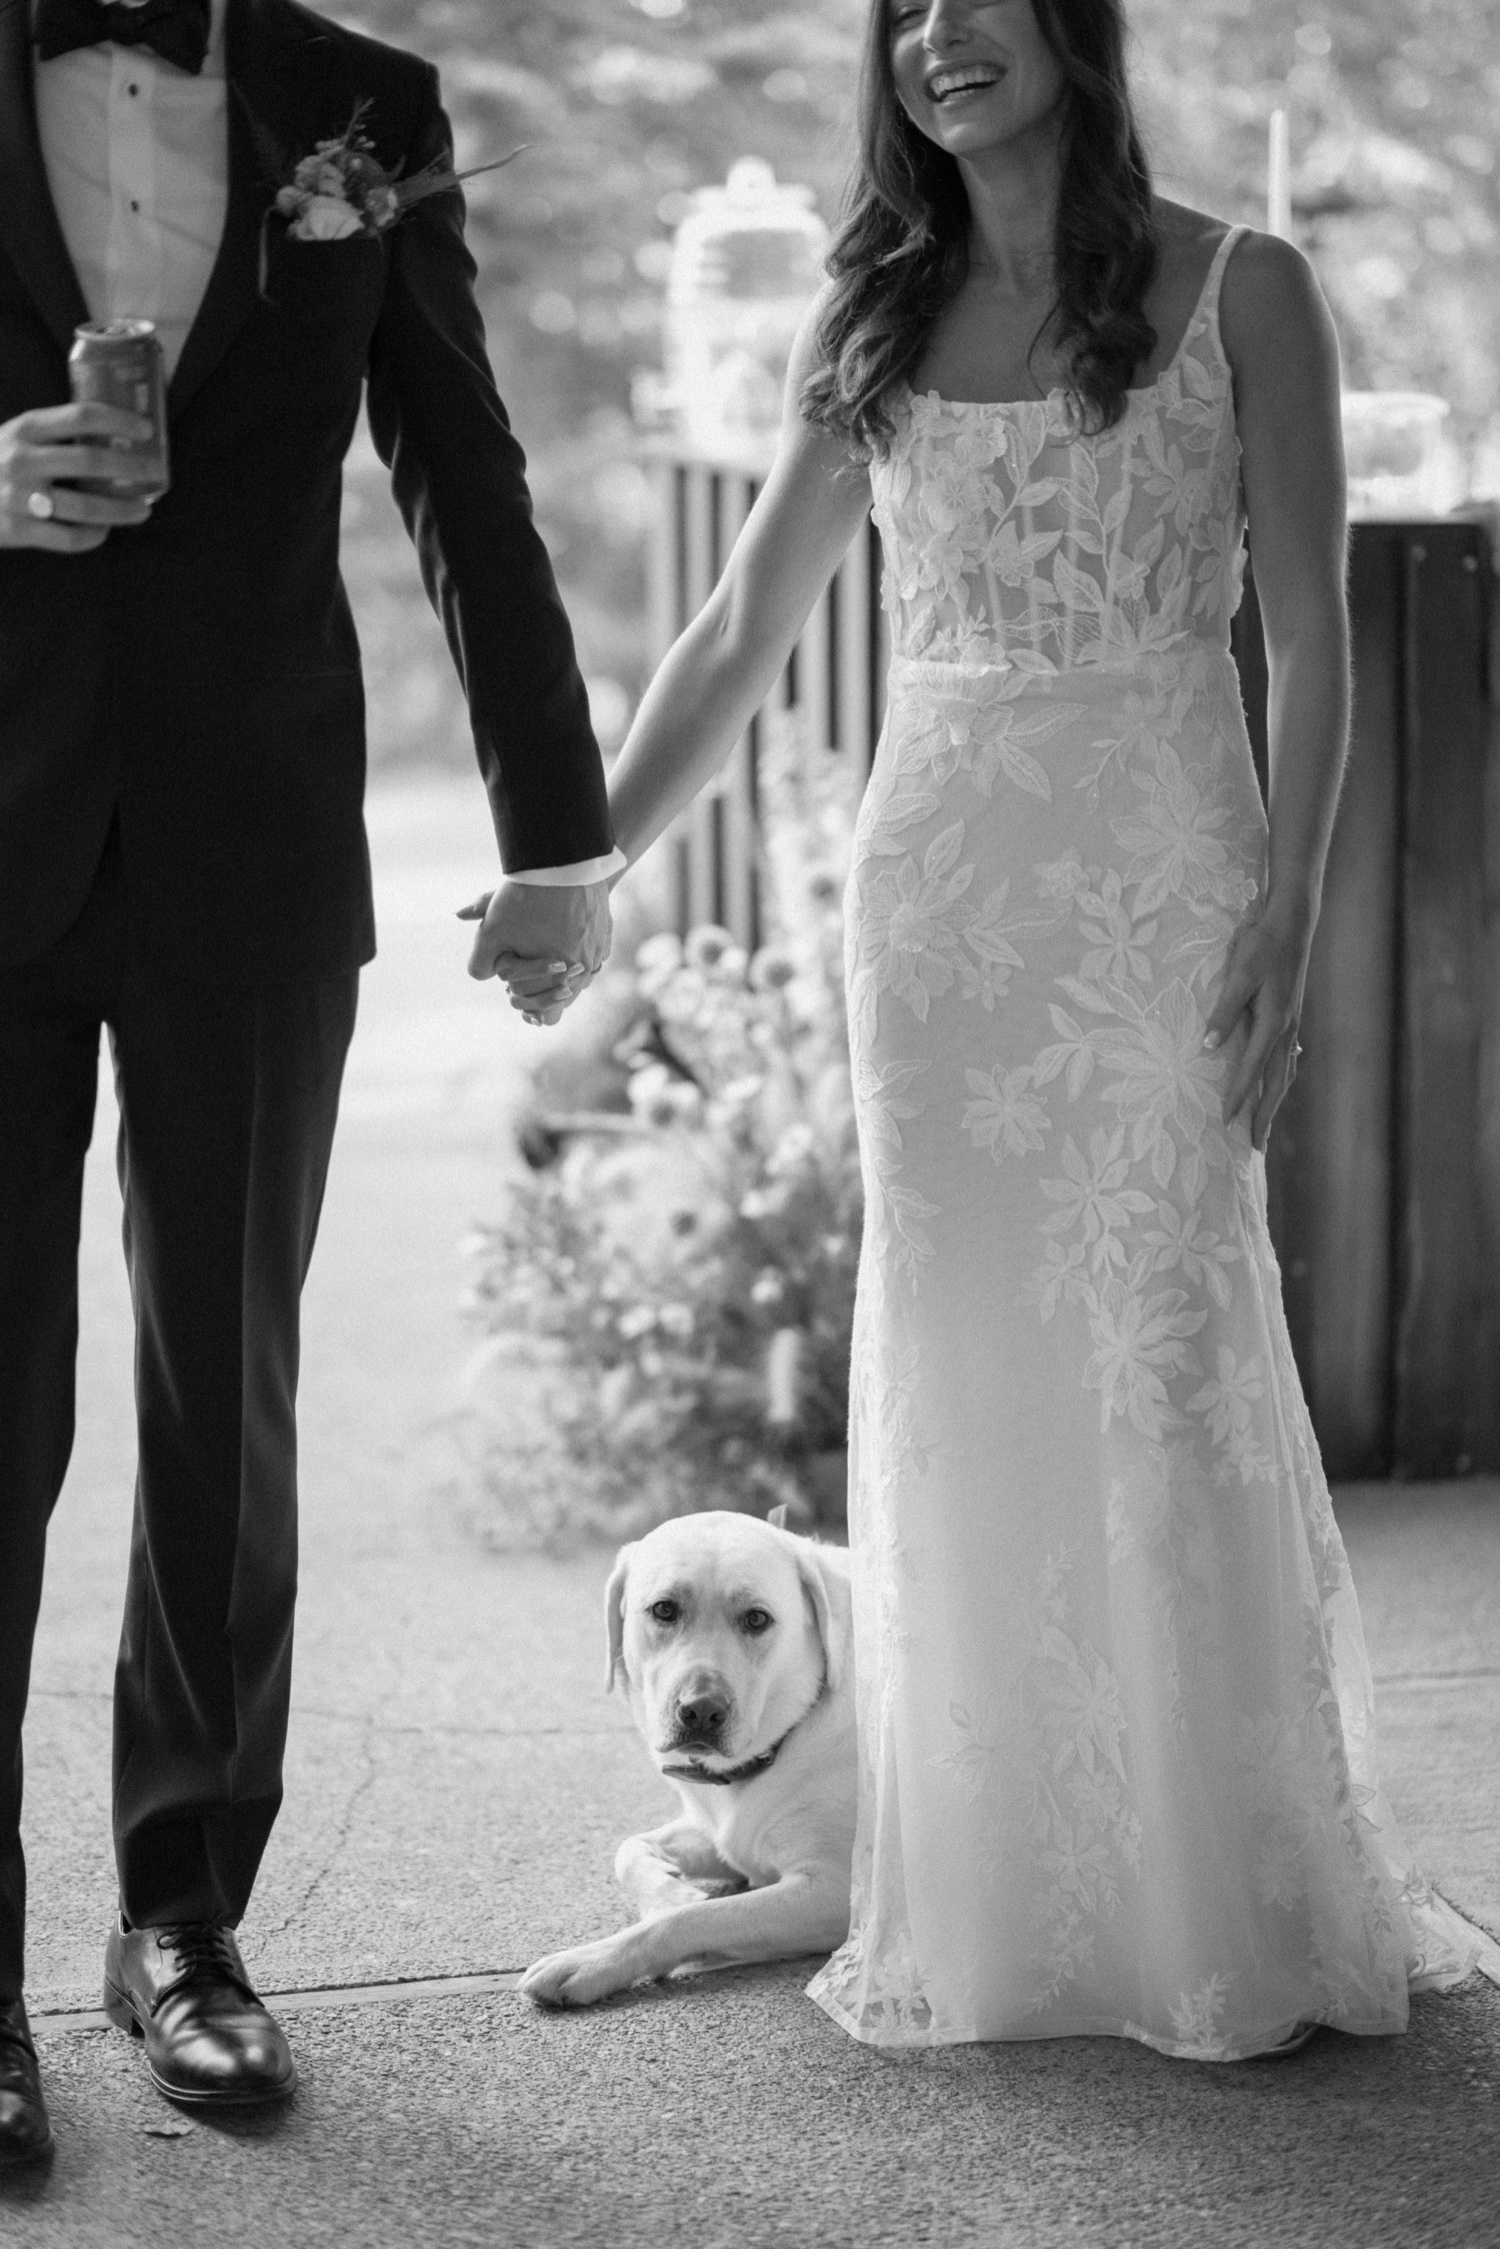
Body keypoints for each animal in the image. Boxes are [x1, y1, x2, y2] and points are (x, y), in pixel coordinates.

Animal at [521, 1511, 854, 2006]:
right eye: (664, 1610)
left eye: (757, 1618)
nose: (701, 1711)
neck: (784, 1738)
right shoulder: (717, 1832)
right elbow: (628, 1849)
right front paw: (671, 1895)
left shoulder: (833, 1893)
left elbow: (693, 1920)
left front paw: (592, 1960)